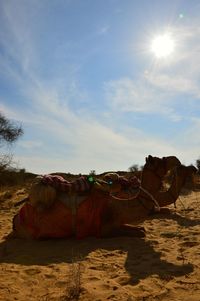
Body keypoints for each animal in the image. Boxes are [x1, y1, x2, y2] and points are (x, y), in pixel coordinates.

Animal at [11, 156, 195, 238]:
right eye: (159, 160)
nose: (179, 161)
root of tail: (15, 218)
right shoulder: (105, 228)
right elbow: (136, 230)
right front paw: (139, 229)